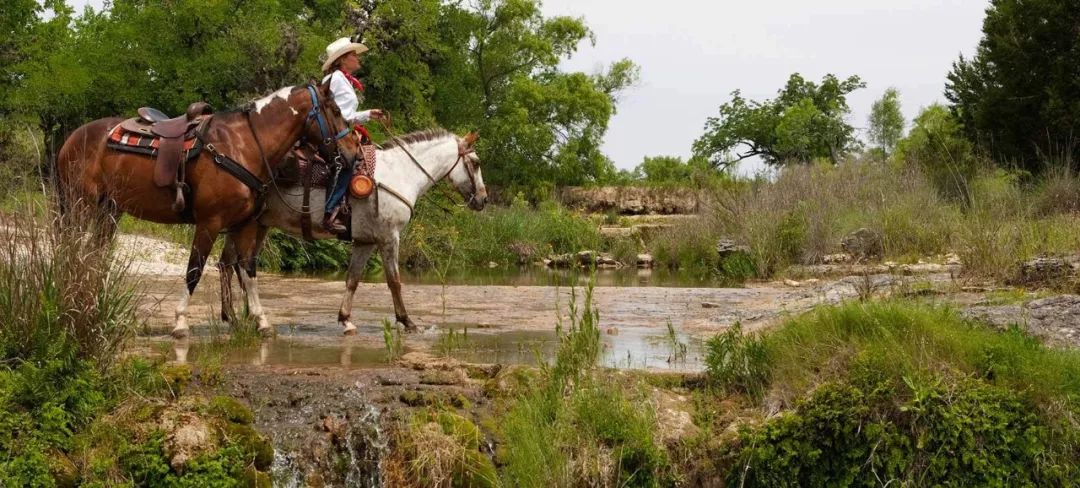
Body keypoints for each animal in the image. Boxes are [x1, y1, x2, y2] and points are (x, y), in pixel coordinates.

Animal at [55, 80, 358, 339]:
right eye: (336, 110)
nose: (352, 152)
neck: (244, 145)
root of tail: (74, 136)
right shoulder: (209, 223)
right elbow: (194, 270)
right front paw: (180, 322)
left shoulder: (245, 225)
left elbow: (248, 270)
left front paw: (261, 321)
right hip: (79, 205)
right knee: (73, 251)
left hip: (110, 210)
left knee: (95, 256)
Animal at [217, 127, 488, 334]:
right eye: (475, 163)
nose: (483, 200)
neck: (400, 173)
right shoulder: (389, 238)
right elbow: (395, 281)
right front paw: (407, 322)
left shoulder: (365, 242)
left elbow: (353, 279)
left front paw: (346, 320)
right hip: (249, 226)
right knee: (241, 266)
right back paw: (251, 319)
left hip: (255, 227)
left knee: (228, 265)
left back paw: (234, 317)